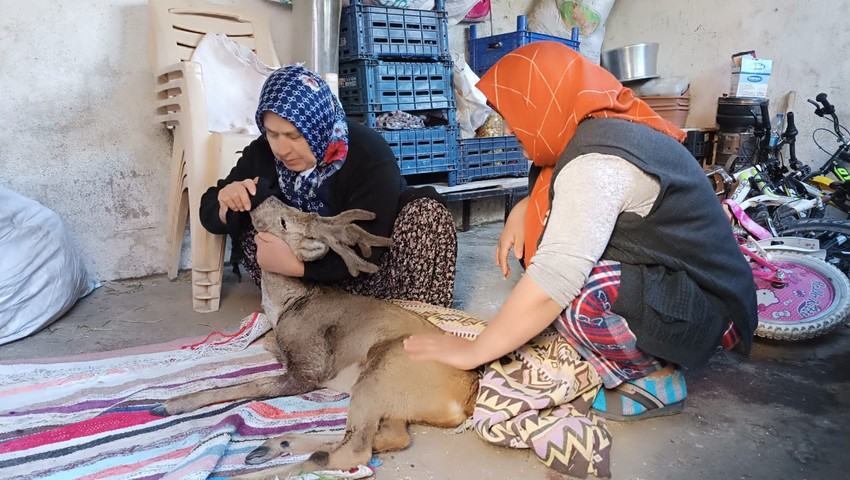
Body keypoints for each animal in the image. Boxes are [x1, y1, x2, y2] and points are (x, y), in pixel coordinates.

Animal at [151, 196, 476, 480]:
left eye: (284, 221)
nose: (264, 197)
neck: (286, 305)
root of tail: (465, 400)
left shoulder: (308, 369)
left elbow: (249, 384)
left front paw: (170, 403)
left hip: (385, 365)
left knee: (355, 450)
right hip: (391, 395)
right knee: (387, 436)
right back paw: (275, 444)